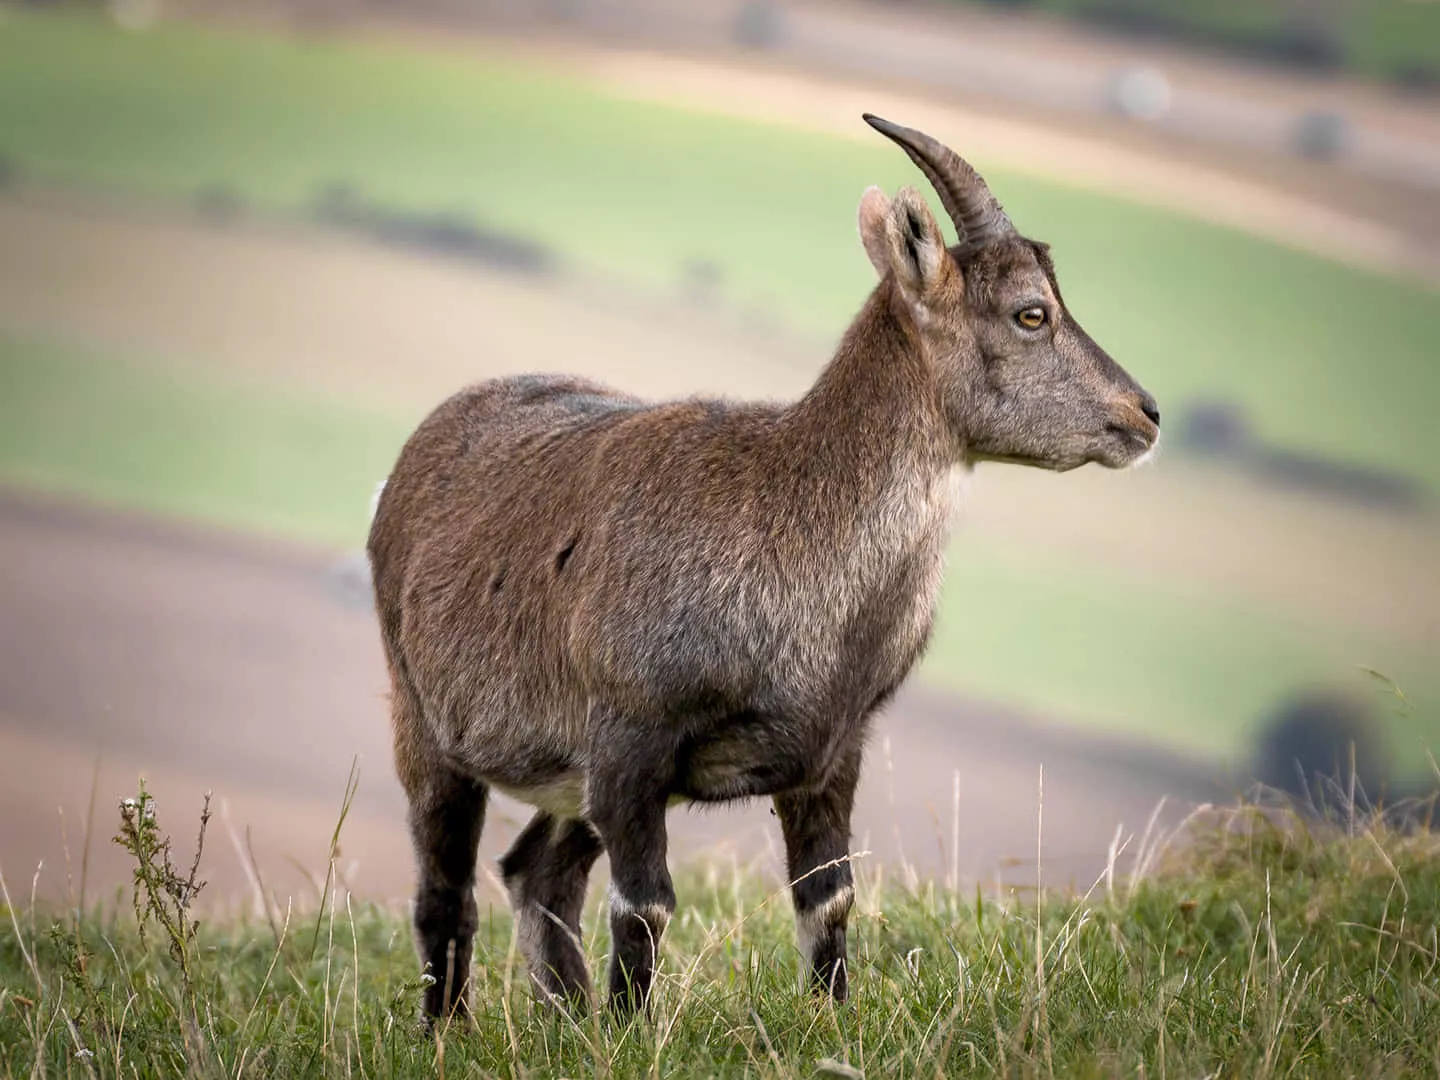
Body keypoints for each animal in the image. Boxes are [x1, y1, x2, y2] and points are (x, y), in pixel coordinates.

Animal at [367, 114, 1160, 1022]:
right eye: (1032, 313)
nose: (1145, 413)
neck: (791, 536)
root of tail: (412, 458)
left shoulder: (831, 751)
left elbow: (828, 902)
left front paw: (832, 1022)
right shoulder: (631, 741)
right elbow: (645, 907)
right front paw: (633, 1034)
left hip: (571, 783)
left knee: (536, 873)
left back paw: (568, 1023)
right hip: (430, 723)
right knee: (447, 892)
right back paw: (451, 1030)